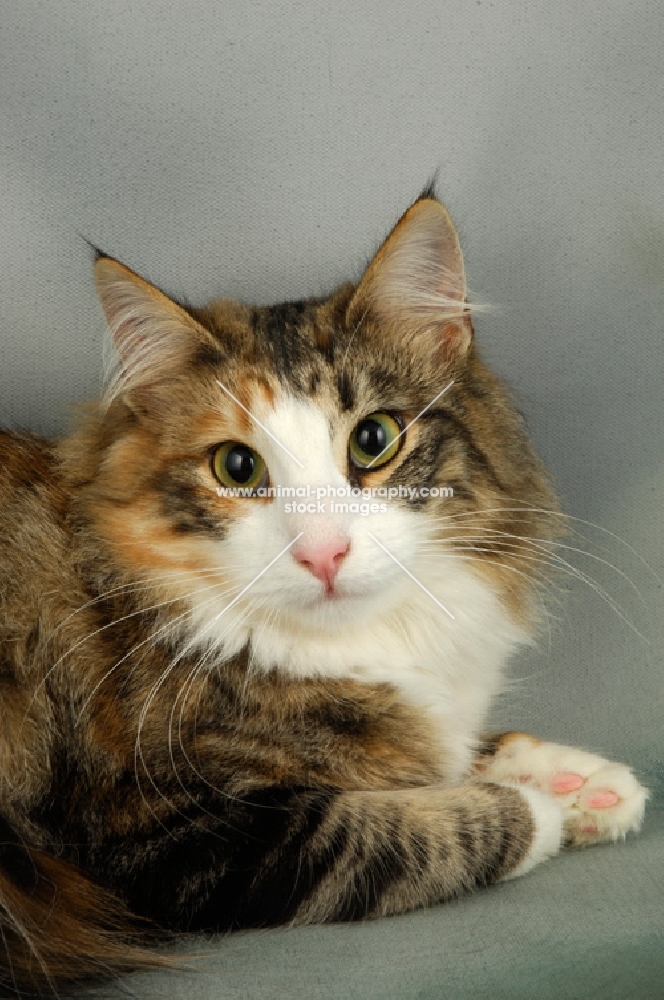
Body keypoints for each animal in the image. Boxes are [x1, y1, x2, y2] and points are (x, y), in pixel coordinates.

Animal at [0, 191, 644, 996]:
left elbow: (462, 747)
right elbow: (397, 829)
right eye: (237, 466)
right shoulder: (158, 834)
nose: (323, 552)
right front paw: (543, 805)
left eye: (374, 439)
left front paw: (583, 783)